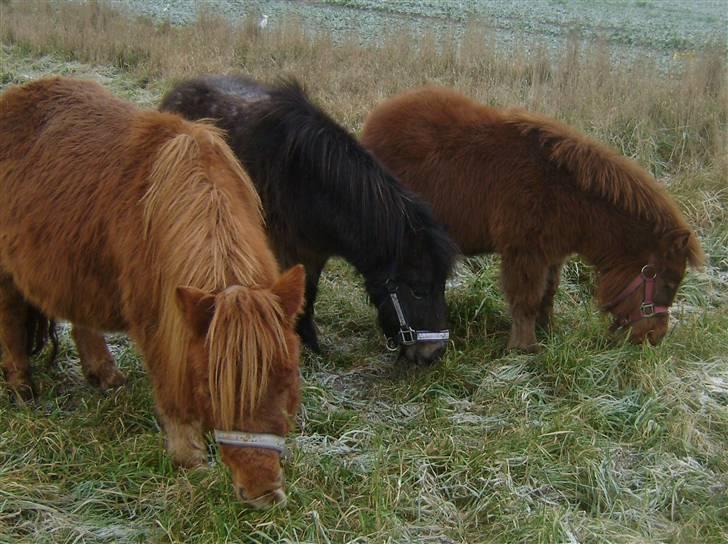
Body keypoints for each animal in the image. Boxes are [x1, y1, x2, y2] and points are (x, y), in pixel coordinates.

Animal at [0, 77, 306, 510]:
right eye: (211, 392)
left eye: (288, 379)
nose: (262, 493)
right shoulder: (159, 324)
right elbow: (171, 387)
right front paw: (190, 461)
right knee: (10, 319)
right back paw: (22, 389)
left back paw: (105, 375)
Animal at [161, 75, 456, 366]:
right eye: (418, 289)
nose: (434, 354)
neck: (309, 183)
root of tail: (179, 91)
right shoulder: (283, 250)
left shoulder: (314, 254)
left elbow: (309, 293)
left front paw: (311, 344)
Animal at [364, 85, 704, 348]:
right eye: (668, 283)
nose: (654, 338)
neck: (568, 195)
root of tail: (374, 123)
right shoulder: (525, 253)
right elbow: (526, 299)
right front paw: (524, 348)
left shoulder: (552, 255)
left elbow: (547, 294)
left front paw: (548, 331)